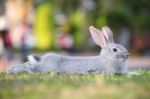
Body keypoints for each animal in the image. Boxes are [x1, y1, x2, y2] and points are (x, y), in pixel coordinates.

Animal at [7, 25, 141, 75]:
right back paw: (14, 71)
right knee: (30, 66)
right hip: (45, 67)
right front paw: (136, 73)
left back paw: (12, 70)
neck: (107, 58)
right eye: (114, 50)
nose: (128, 55)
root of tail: (43, 59)